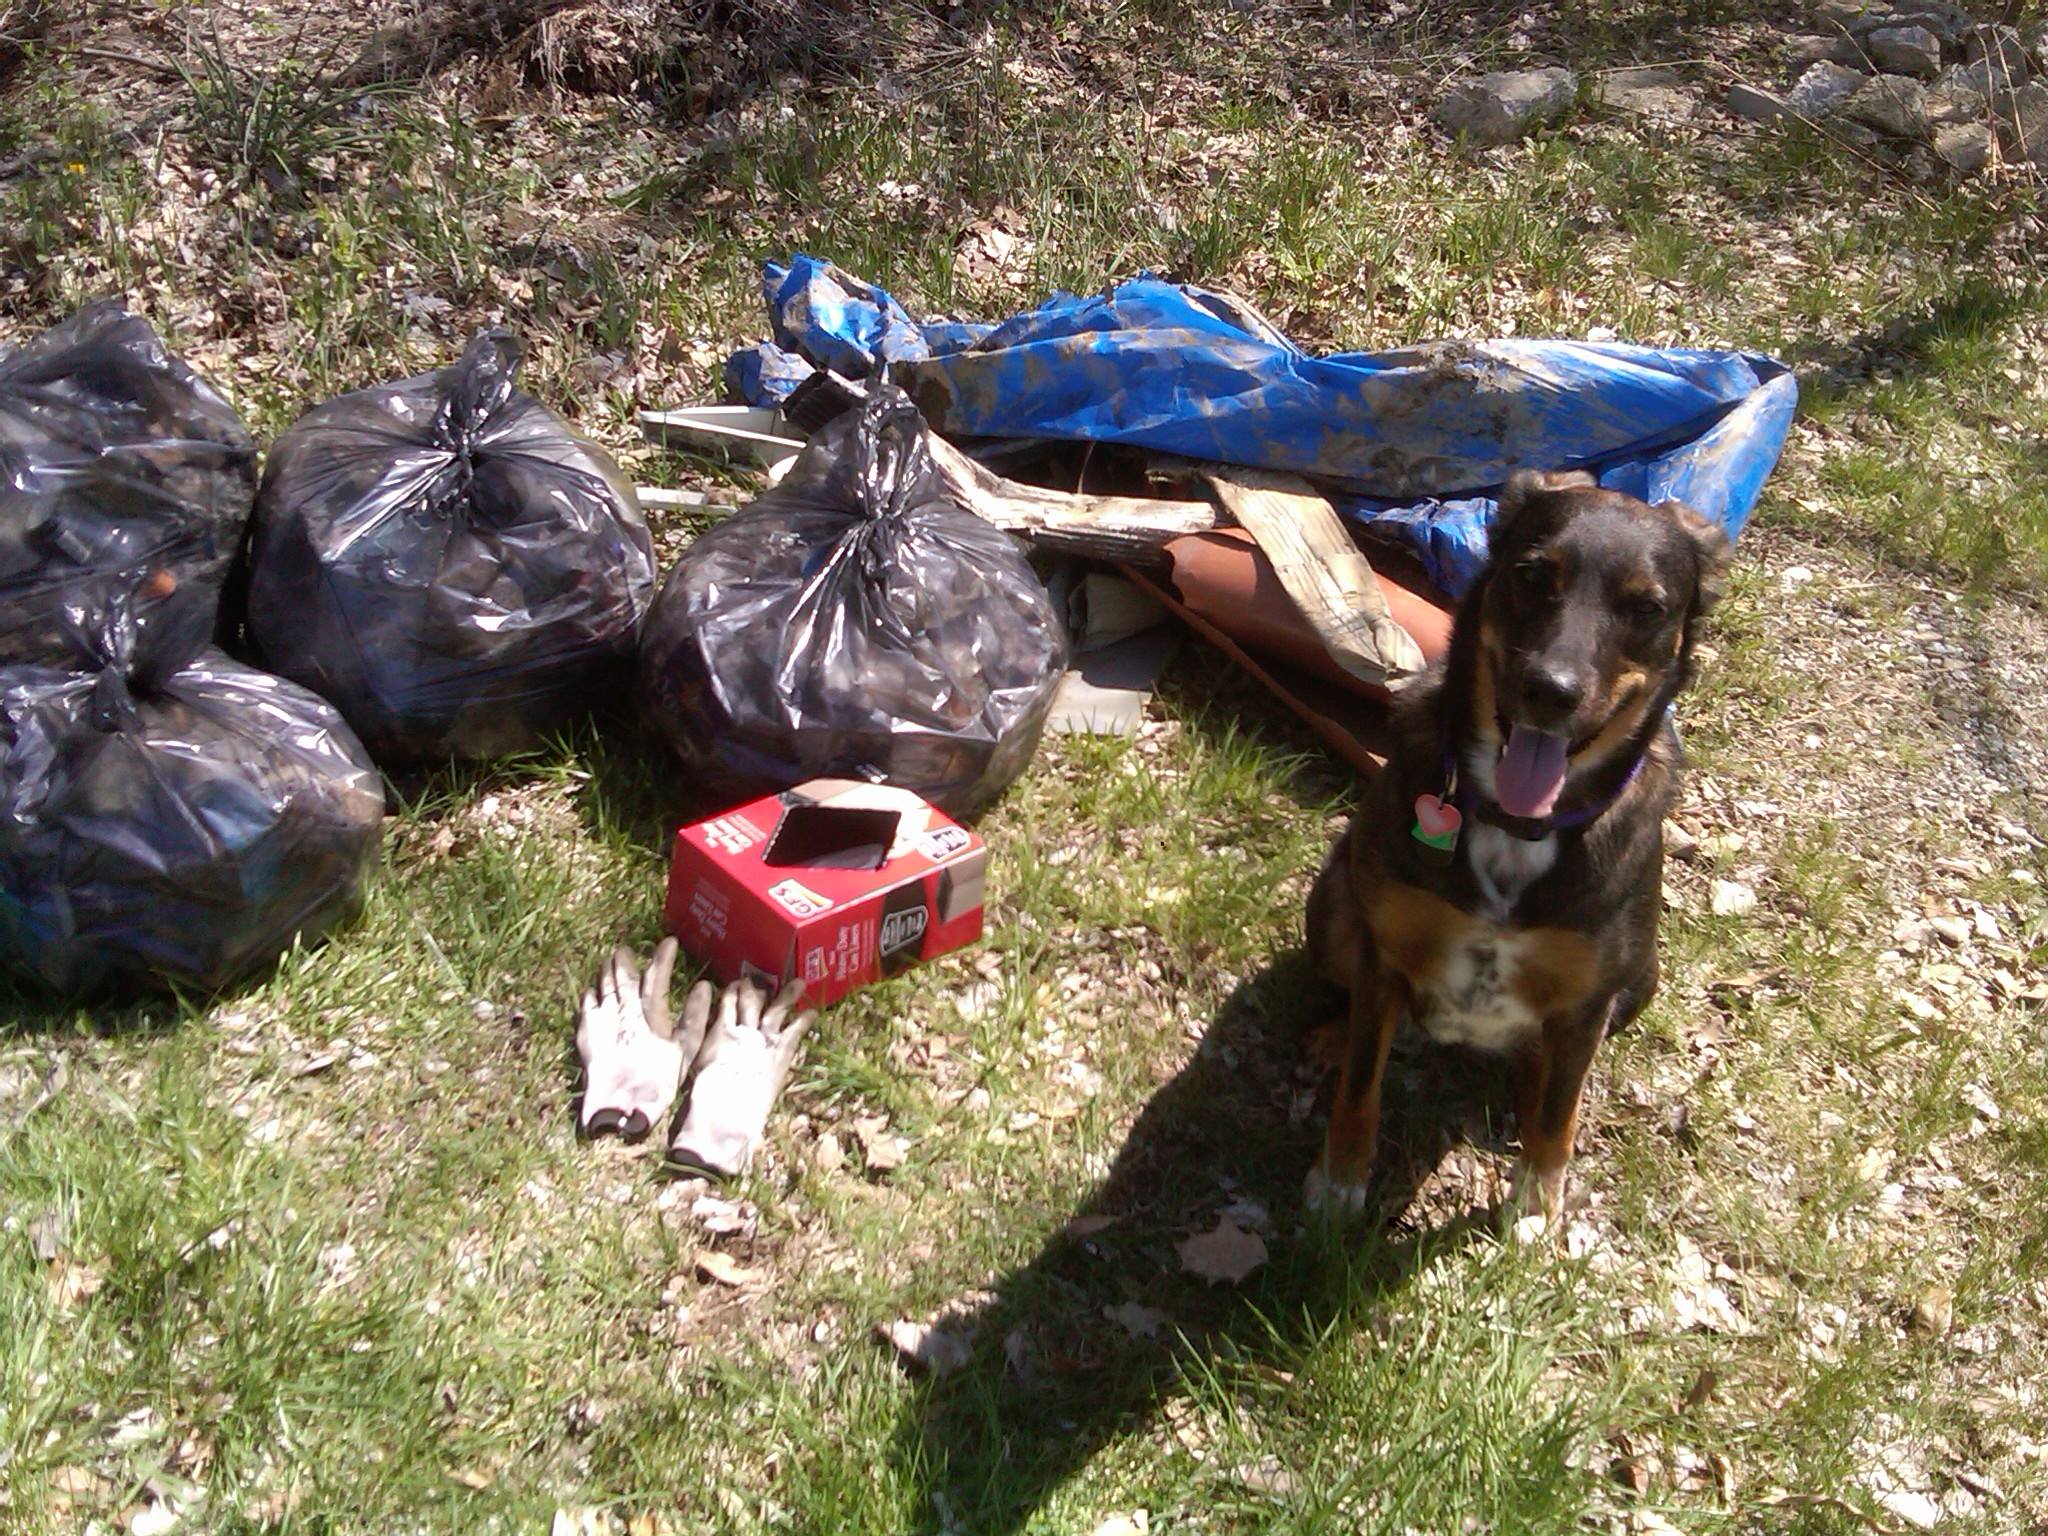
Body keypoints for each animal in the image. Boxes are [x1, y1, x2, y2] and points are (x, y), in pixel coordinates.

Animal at [1310, 475, 1728, 1220]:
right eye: (1532, 575)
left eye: (1647, 606)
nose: (1551, 691)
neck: (1515, 824)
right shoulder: (1386, 949)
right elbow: (1361, 1081)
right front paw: (1340, 1179)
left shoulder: (1590, 999)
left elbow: (1559, 1114)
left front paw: (1535, 1210)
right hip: (1334, 902)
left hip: (1640, 981)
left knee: (1549, 1069)